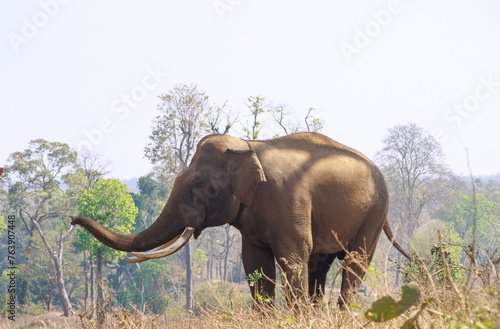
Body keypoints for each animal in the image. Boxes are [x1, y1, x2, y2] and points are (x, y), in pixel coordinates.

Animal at [73, 131, 410, 308]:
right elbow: (254, 261)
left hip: (374, 211)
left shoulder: (288, 201)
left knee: (355, 262)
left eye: (199, 184)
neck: (247, 145)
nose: (73, 218)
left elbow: (292, 258)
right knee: (320, 266)